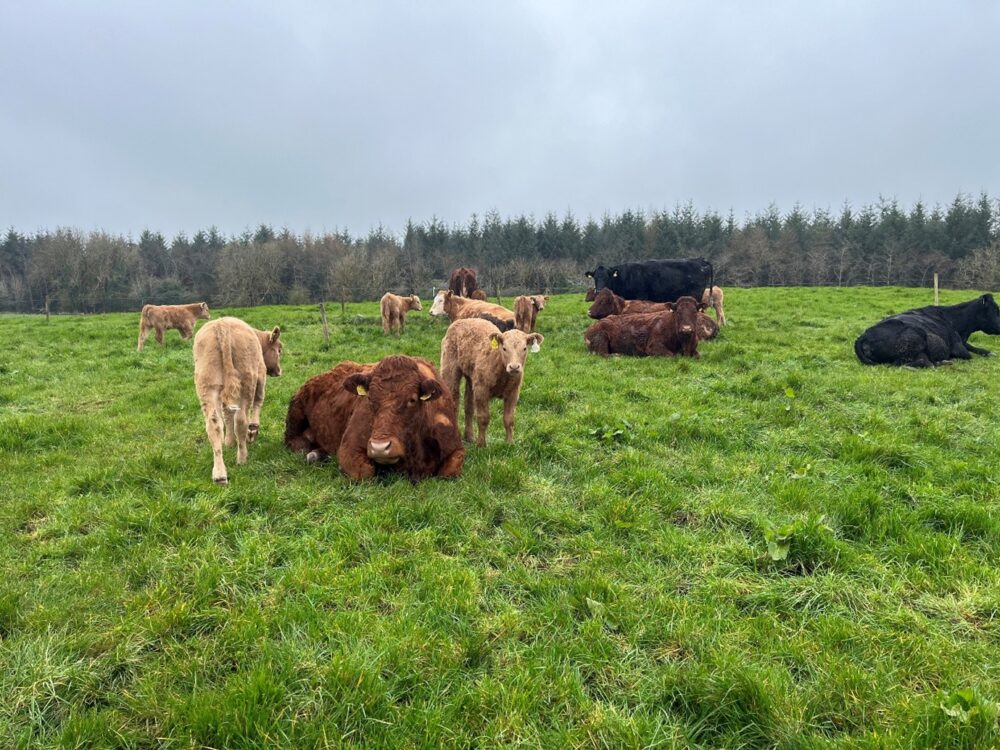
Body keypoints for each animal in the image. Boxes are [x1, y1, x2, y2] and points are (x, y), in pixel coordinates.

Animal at [193, 317, 282, 484]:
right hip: (247, 382)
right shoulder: (261, 376)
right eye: (279, 350)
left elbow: (227, 415)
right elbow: (258, 401)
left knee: (214, 425)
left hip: (207, 386)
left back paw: (220, 474)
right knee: (241, 420)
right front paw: (253, 430)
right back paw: (242, 458)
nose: (279, 371)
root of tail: (222, 325)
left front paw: (229, 442)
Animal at [284, 355, 465, 481]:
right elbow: (365, 472)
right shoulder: (348, 448)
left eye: (412, 400)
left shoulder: (456, 448)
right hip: (295, 410)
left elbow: (449, 472)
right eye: (370, 398)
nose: (379, 448)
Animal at [584, 258, 713, 303]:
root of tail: (700, 260)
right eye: (595, 278)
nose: (599, 291)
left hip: (695, 296)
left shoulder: (641, 297)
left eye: (607, 277)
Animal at [854, 294, 1000, 367]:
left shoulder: (962, 342)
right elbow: (969, 355)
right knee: (922, 363)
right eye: (995, 309)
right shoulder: (958, 346)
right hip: (916, 340)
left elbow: (976, 348)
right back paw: (943, 362)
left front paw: (989, 352)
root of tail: (863, 336)